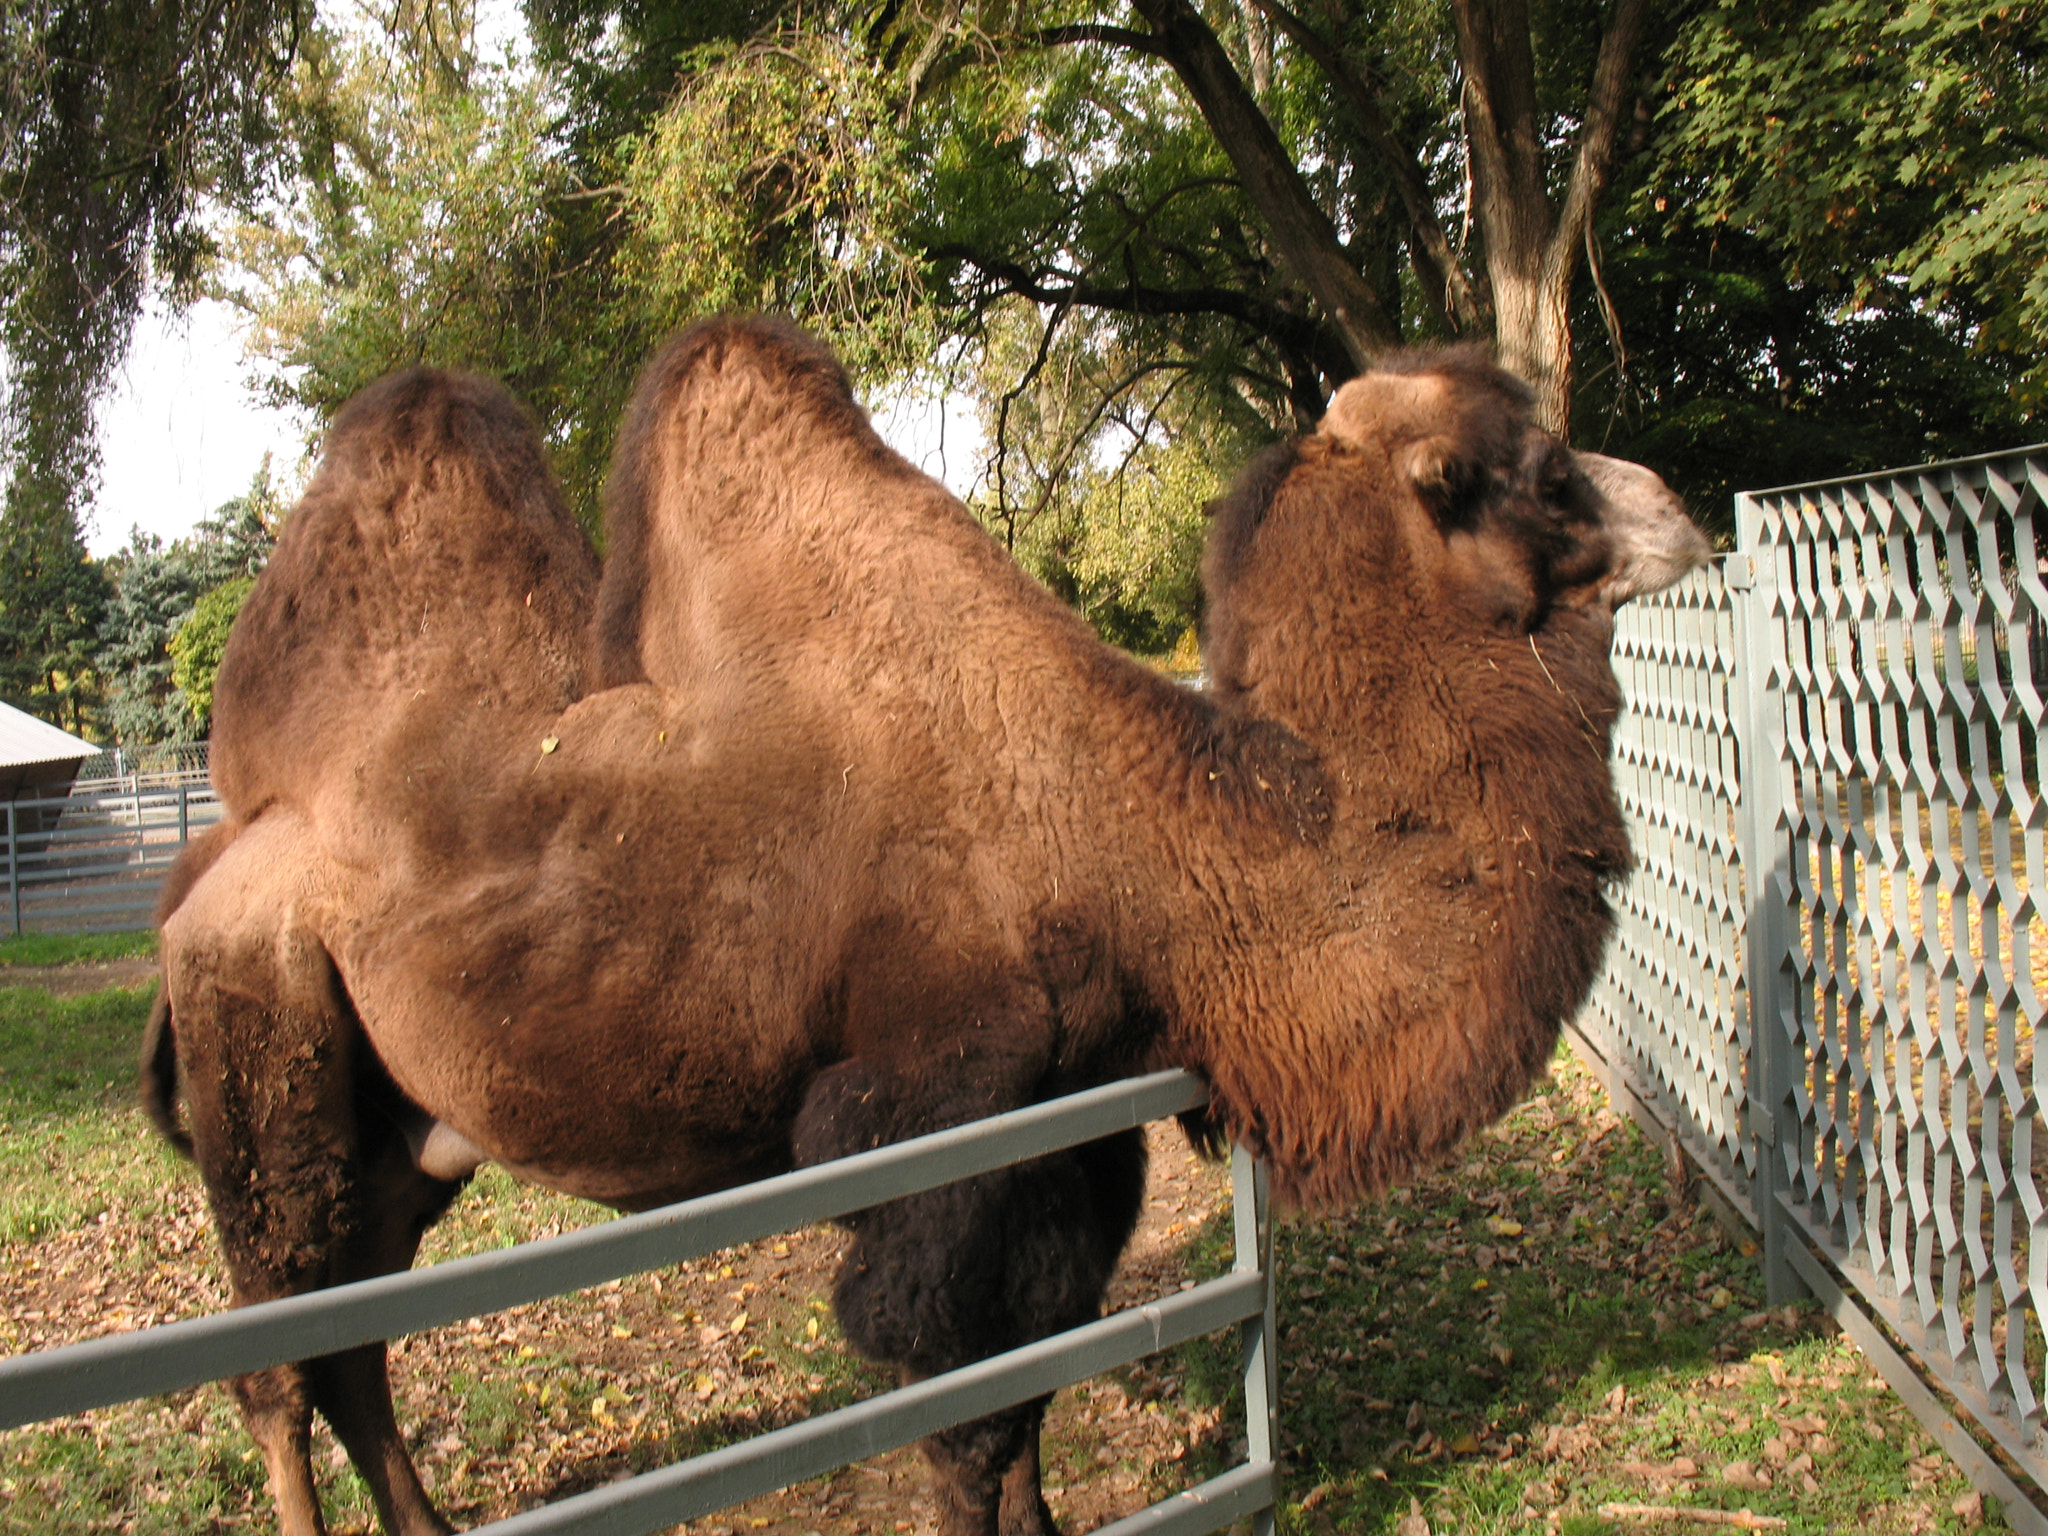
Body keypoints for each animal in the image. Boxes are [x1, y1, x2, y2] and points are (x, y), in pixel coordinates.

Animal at [142, 317, 1708, 1536]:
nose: (1682, 503)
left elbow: (1027, 1389)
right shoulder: (929, 1114)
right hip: (260, 1037)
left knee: (350, 1342)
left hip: (401, 1129)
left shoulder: (1074, 1130)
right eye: (1544, 475)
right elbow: (958, 1412)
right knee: (276, 1359)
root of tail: (205, 863)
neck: (1147, 844)